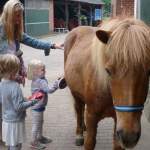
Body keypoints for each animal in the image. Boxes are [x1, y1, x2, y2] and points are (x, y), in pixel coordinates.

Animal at [64, 17, 150, 150]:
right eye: (108, 71)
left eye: (149, 71)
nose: (129, 136)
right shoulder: (92, 116)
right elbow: (90, 142)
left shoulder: (118, 122)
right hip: (75, 93)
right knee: (79, 109)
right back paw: (79, 133)